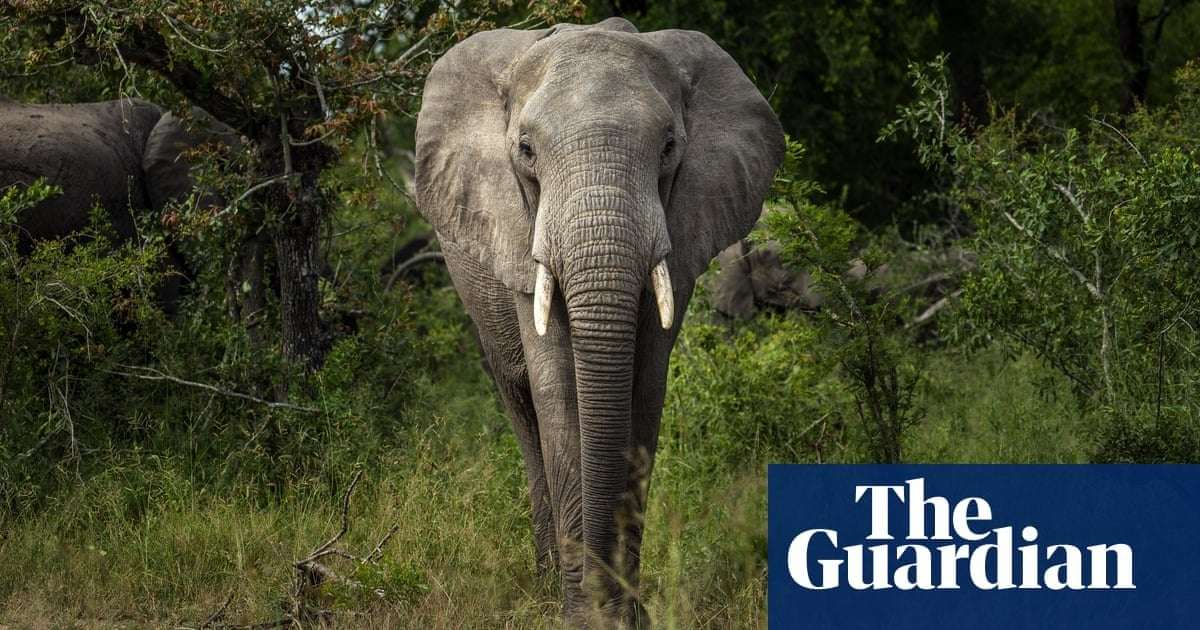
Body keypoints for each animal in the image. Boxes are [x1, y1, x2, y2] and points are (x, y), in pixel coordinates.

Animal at [414, 17, 783, 626]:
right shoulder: (519, 234)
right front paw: (581, 616)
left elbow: (644, 388)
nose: (602, 597)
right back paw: (544, 584)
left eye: (668, 148)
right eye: (525, 150)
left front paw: (626, 615)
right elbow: (558, 391)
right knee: (522, 408)